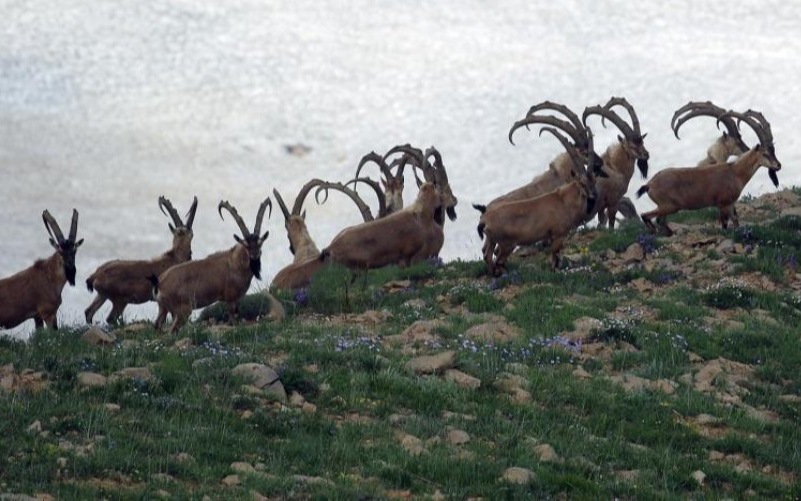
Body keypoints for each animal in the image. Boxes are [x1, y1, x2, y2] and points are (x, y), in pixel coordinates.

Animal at [84, 195, 197, 324]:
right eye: (192, 234)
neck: (174, 258)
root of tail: (95, 275)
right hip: (119, 301)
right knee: (110, 318)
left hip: (102, 296)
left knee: (88, 312)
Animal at [153, 197, 272, 334]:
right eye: (246, 245)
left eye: (260, 243)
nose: (255, 255)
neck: (236, 264)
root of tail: (160, 283)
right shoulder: (230, 299)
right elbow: (233, 320)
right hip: (183, 310)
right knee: (172, 330)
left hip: (163, 309)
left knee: (157, 324)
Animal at [580, 97, 648, 229]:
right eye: (632, 146)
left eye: (642, 142)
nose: (647, 154)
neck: (615, 168)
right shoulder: (613, 202)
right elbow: (610, 223)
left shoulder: (601, 207)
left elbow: (601, 222)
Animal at [636, 110, 780, 235]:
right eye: (765, 153)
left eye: (773, 151)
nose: (778, 165)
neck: (734, 172)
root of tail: (649, 184)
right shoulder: (723, 204)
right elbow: (724, 224)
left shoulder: (731, 204)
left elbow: (736, 221)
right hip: (669, 206)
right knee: (647, 216)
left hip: (665, 208)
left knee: (658, 219)